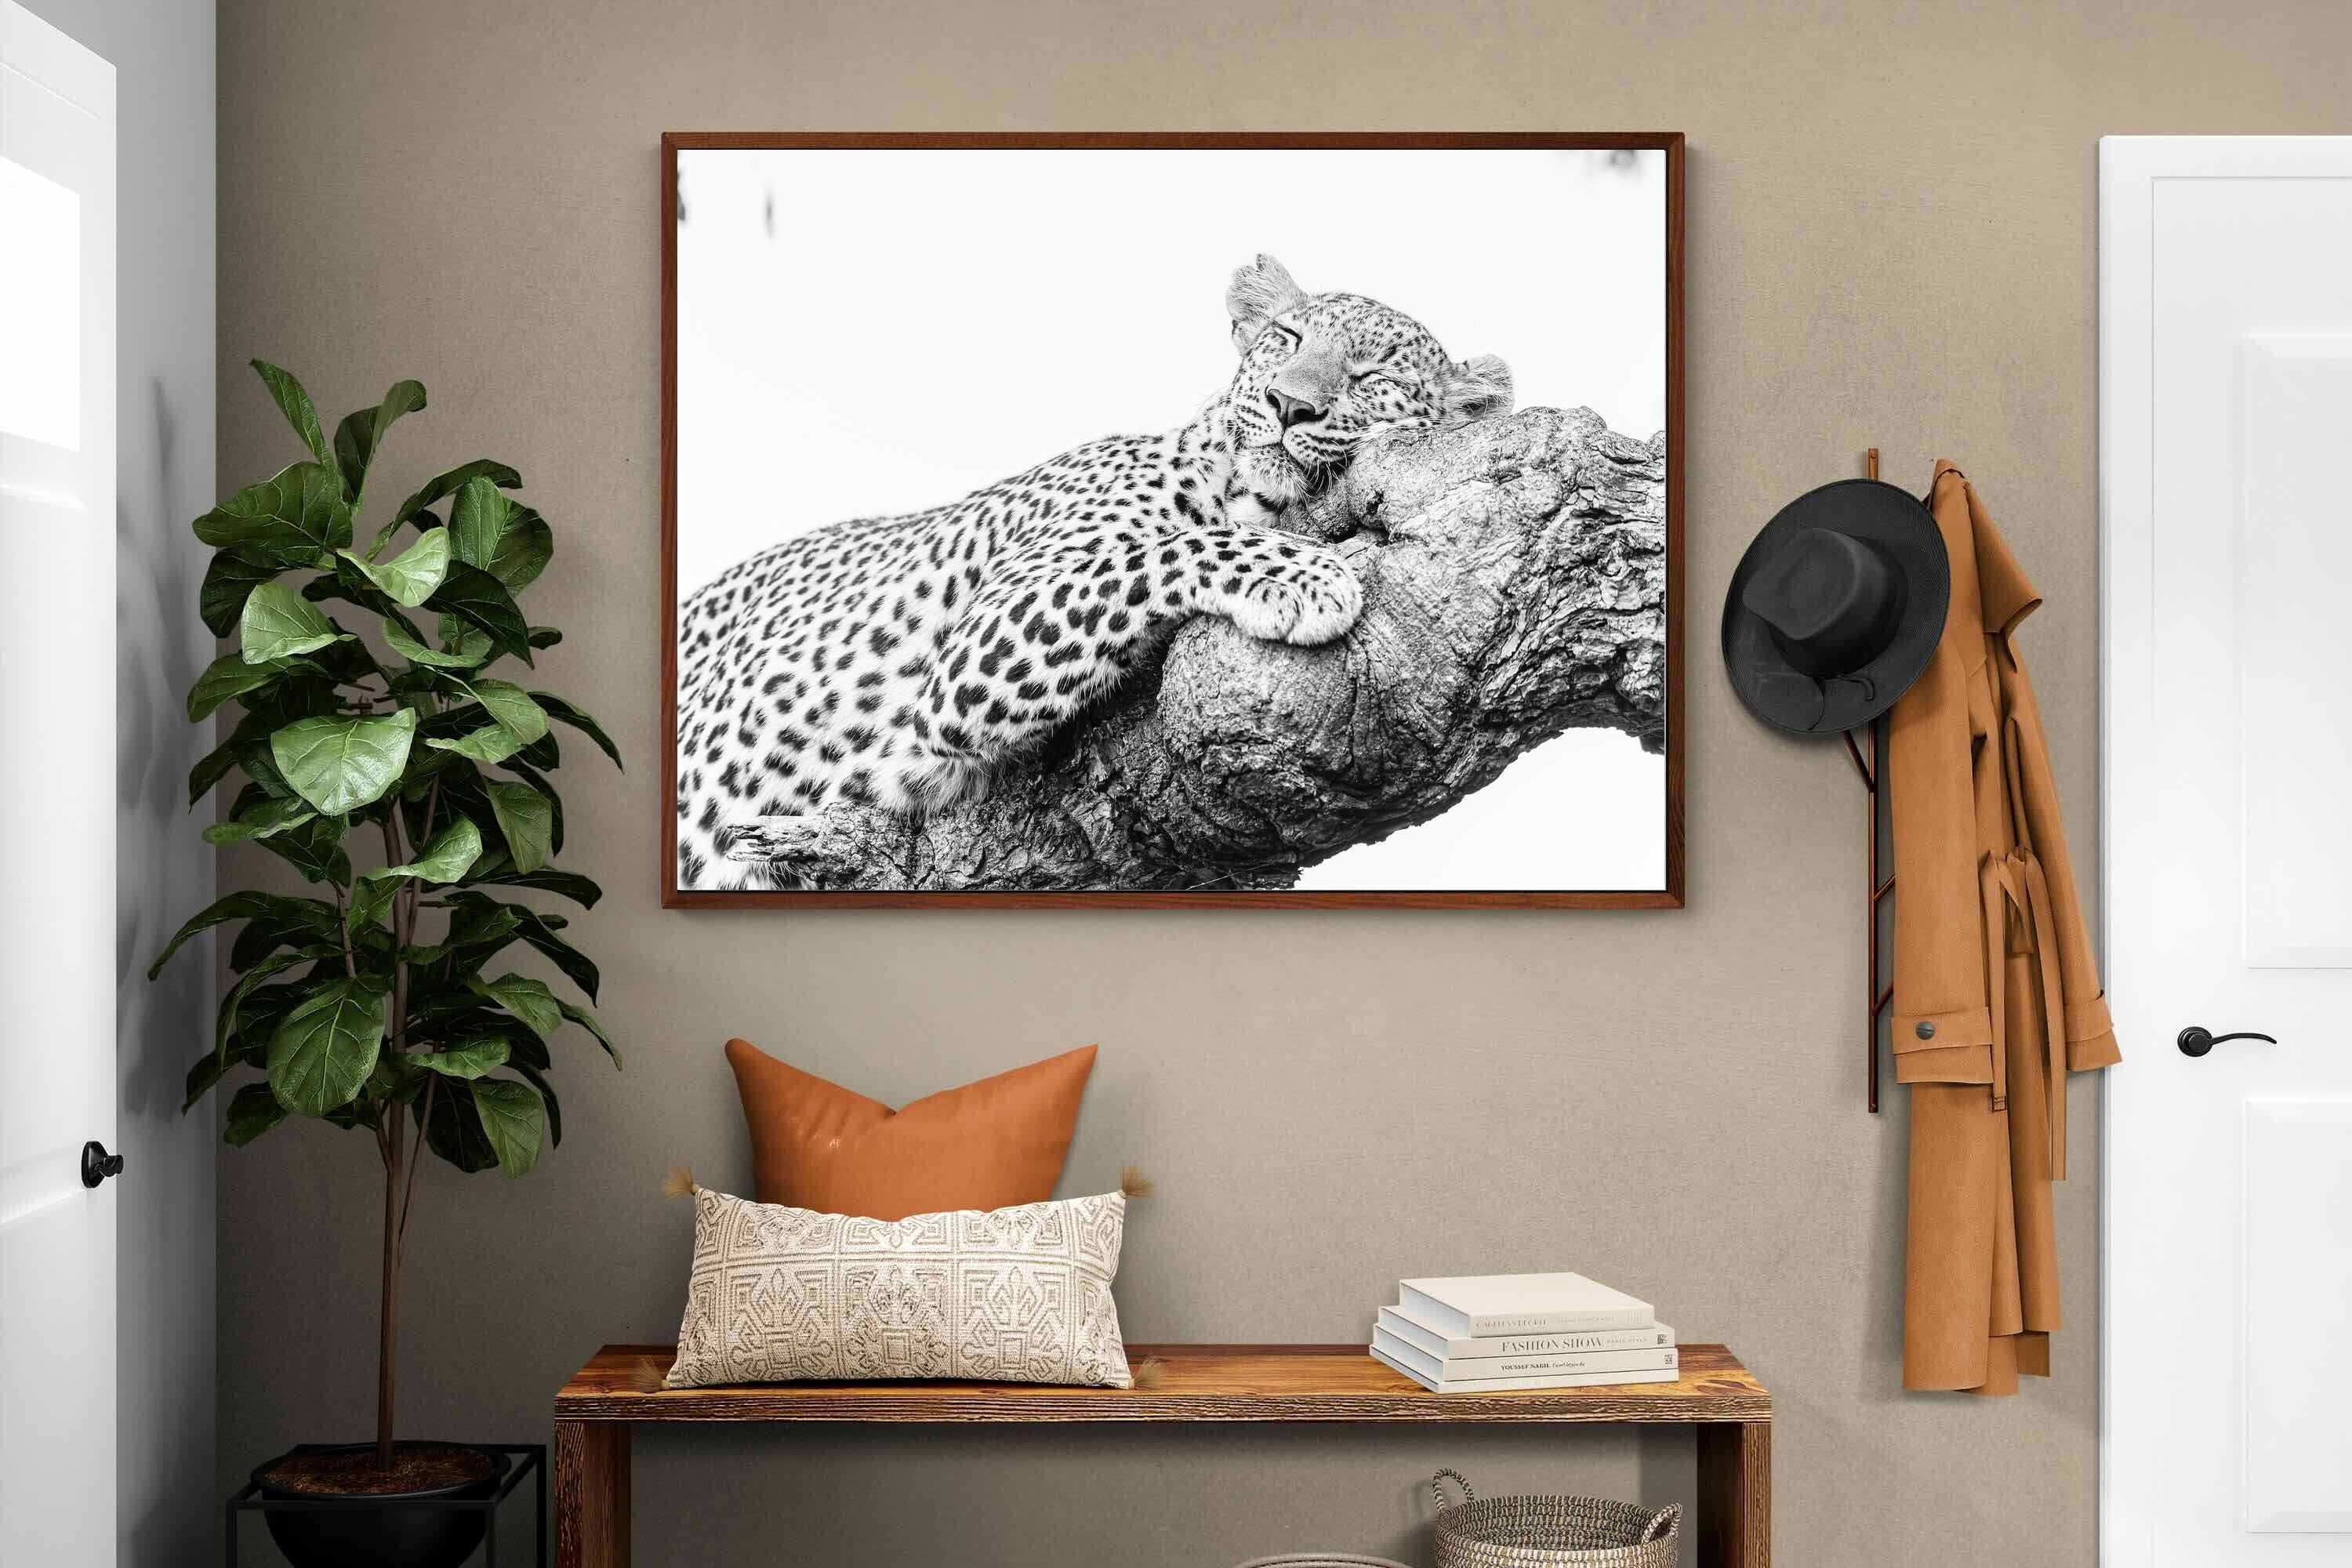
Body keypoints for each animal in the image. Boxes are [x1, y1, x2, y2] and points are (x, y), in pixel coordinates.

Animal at [674, 254, 1514, 890]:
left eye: (1372, 376)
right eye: (1287, 337)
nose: (1288, 405)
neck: (1245, 488)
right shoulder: (971, 656)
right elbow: (1163, 550)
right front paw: (1307, 575)